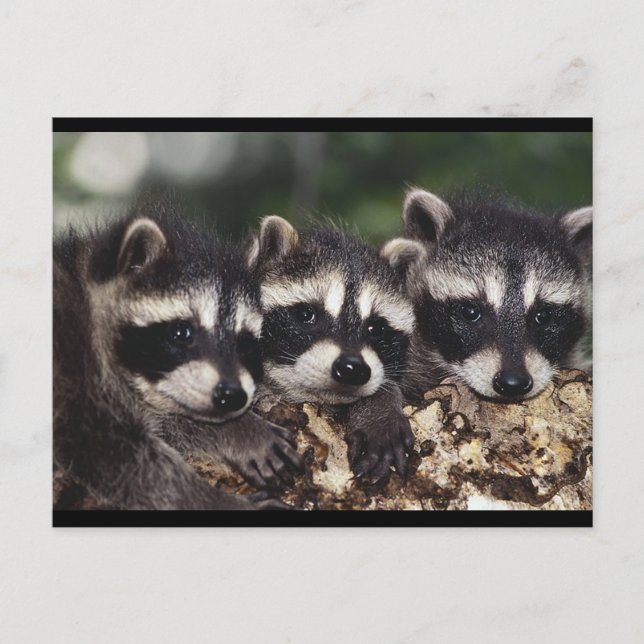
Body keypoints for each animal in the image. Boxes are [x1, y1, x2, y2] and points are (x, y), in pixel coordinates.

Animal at [54, 200, 301, 510]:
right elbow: (125, 462)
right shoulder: (74, 368)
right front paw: (216, 501)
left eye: (245, 342)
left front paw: (238, 429)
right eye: (182, 332)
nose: (233, 395)